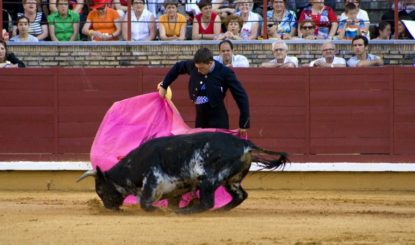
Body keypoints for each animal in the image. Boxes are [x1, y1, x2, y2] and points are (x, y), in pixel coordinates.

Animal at [76, 131, 288, 213]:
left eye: (100, 190)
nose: (109, 208)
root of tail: (245, 144)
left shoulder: (153, 179)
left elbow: (145, 203)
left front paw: (161, 211)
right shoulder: (176, 189)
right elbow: (171, 202)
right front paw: (171, 208)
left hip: (208, 179)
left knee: (207, 202)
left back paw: (186, 212)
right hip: (231, 180)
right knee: (240, 196)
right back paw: (219, 210)